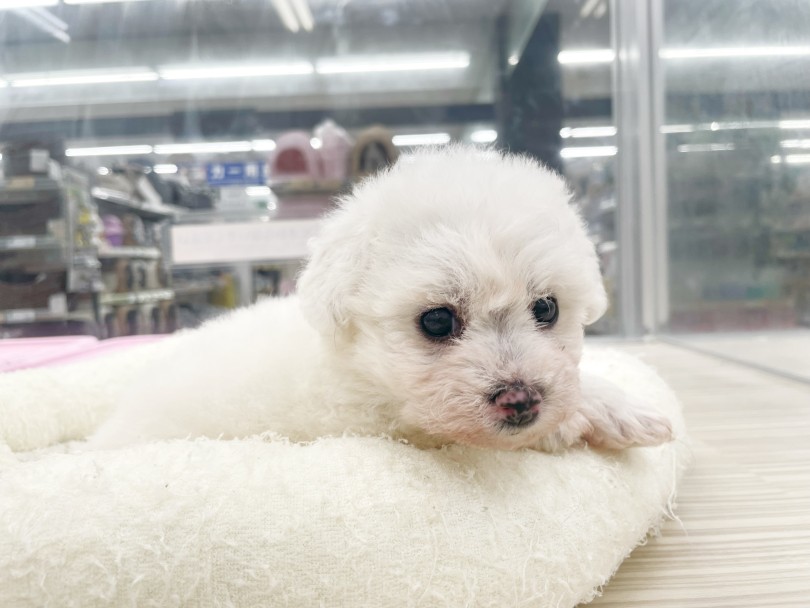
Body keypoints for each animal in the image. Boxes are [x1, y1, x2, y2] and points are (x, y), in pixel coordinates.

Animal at [87, 146, 668, 452]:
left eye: (546, 308)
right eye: (436, 321)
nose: (521, 399)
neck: (365, 373)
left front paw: (620, 407)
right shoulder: (390, 427)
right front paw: (588, 416)